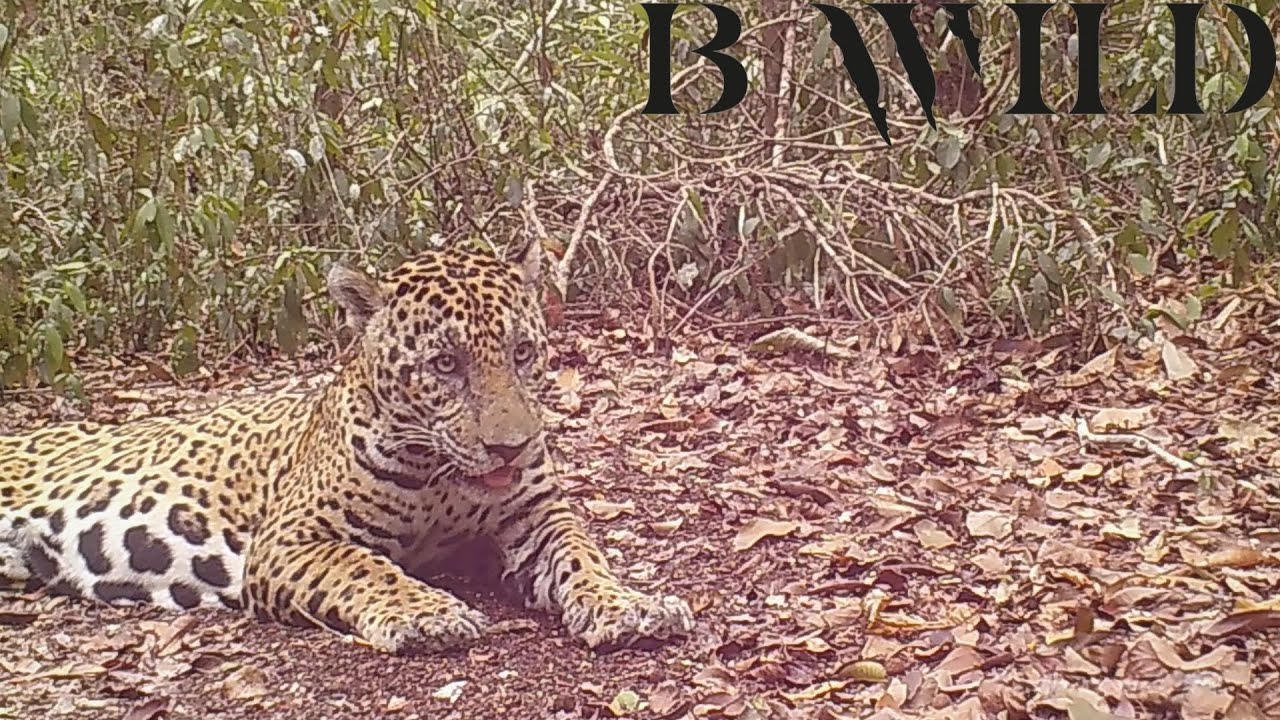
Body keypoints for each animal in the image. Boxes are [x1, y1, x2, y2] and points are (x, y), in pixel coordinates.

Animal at [0, 240, 694, 654]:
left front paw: (630, 606)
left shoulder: (537, 517)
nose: (512, 448)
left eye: (523, 352)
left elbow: (584, 558)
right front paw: (429, 615)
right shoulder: (291, 539)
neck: (440, 475)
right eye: (445, 365)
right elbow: (364, 566)